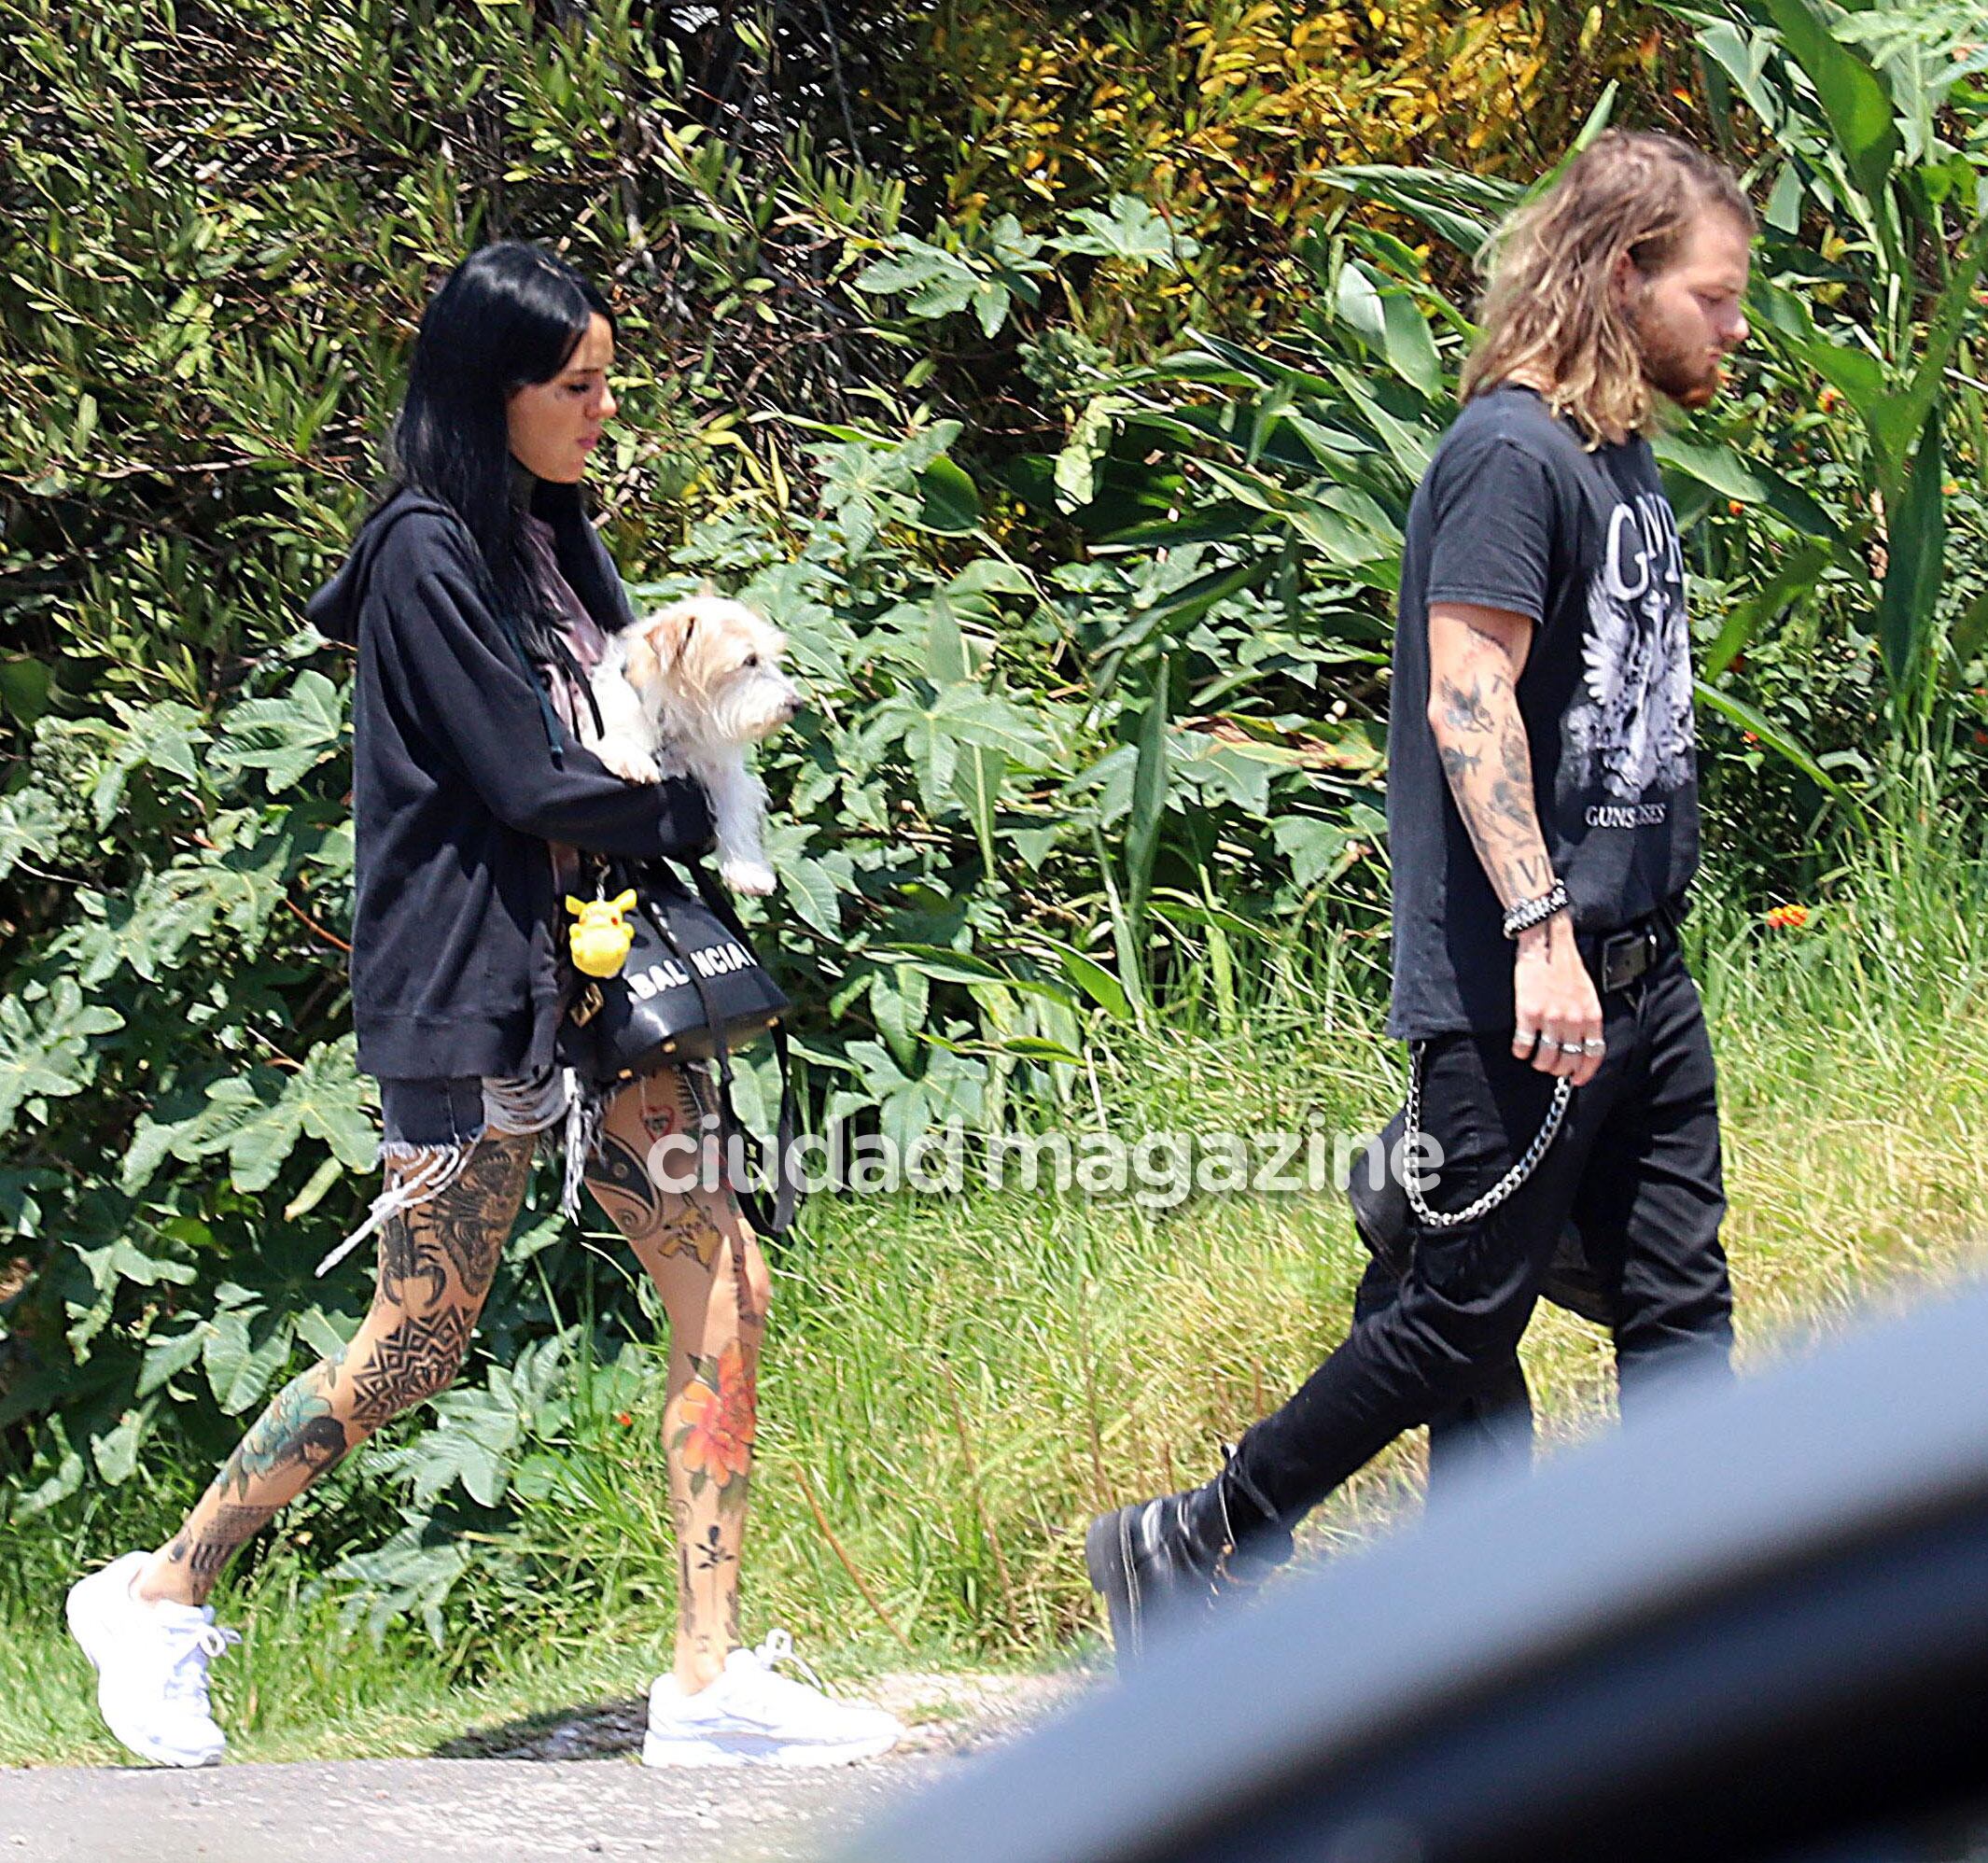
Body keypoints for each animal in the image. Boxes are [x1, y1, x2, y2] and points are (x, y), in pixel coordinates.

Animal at [584, 588, 803, 894]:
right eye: (749, 660)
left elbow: (734, 810)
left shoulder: (723, 770)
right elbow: (614, 738)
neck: (677, 721)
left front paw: (748, 871)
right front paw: (632, 760)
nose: (798, 704)